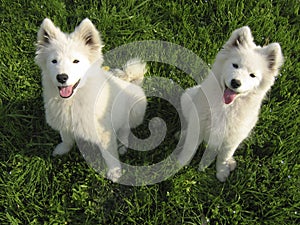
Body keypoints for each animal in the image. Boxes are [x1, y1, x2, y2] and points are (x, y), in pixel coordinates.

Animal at [34, 18, 147, 182]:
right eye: (54, 61)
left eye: (76, 61)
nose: (62, 77)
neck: (73, 100)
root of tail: (133, 83)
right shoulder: (64, 123)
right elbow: (66, 138)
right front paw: (62, 150)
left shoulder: (104, 133)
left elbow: (110, 156)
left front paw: (115, 173)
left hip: (133, 112)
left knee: (126, 130)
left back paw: (123, 145)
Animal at [178, 25, 284, 181]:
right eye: (235, 65)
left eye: (252, 75)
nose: (236, 82)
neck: (226, 106)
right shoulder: (199, 124)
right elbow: (190, 148)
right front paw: (179, 165)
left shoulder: (233, 137)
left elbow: (224, 155)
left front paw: (222, 171)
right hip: (187, 98)